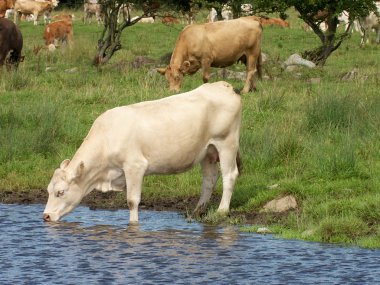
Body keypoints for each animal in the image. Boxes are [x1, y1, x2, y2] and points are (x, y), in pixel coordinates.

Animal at [43, 80, 240, 224]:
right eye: (48, 190)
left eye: (60, 192)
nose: (45, 216)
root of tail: (224, 85)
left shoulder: (135, 166)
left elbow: (132, 201)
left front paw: (133, 225)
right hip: (208, 152)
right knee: (209, 179)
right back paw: (197, 212)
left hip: (226, 143)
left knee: (229, 175)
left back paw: (222, 210)